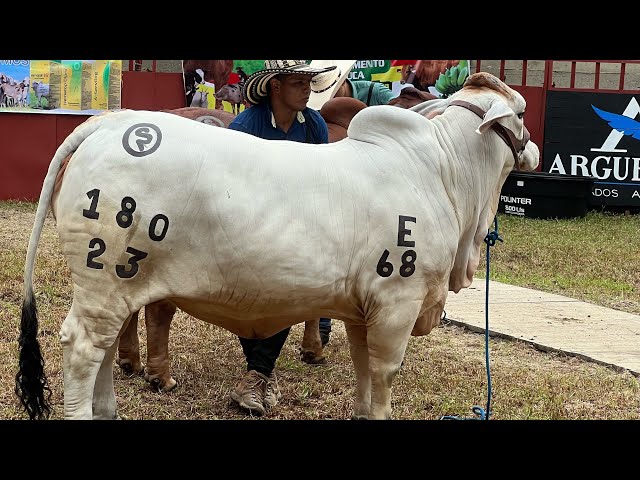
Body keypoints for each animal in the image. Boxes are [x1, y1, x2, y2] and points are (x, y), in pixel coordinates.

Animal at [15, 72, 540, 420]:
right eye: (519, 112)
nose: (534, 150)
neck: (446, 175)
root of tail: (107, 124)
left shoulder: (362, 312)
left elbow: (363, 372)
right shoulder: (397, 304)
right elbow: (384, 374)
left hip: (117, 288)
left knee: (106, 349)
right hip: (103, 281)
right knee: (84, 348)